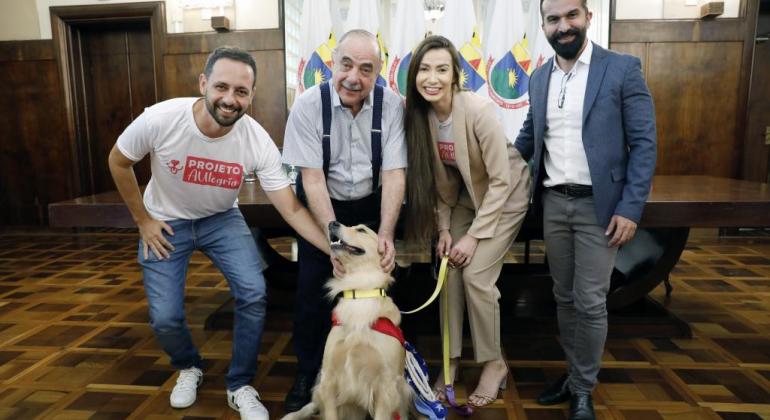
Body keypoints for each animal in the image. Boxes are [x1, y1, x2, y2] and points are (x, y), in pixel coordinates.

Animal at [280, 221, 412, 418]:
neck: (360, 293)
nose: (332, 223)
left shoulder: (386, 386)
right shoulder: (329, 377)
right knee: (313, 405)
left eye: (361, 230)